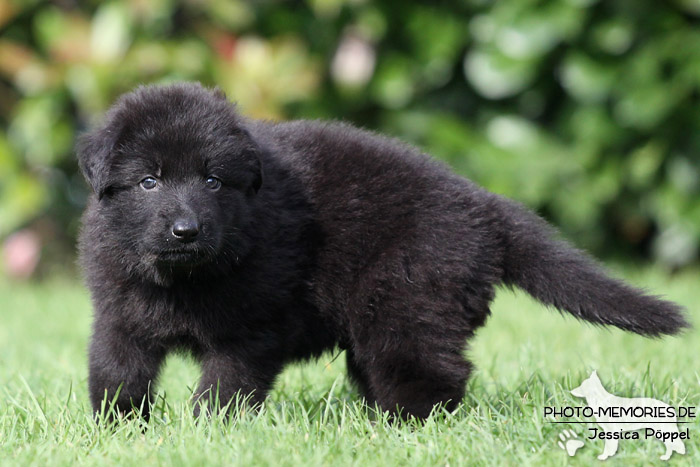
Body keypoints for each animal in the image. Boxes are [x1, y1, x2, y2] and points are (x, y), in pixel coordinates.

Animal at [78, 83, 688, 420]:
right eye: (149, 182)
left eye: (212, 181)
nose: (186, 230)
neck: (181, 279)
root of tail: (484, 206)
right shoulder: (120, 317)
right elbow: (115, 375)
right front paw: (118, 430)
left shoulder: (249, 333)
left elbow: (224, 389)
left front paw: (207, 432)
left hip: (407, 298)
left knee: (433, 370)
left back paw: (404, 429)